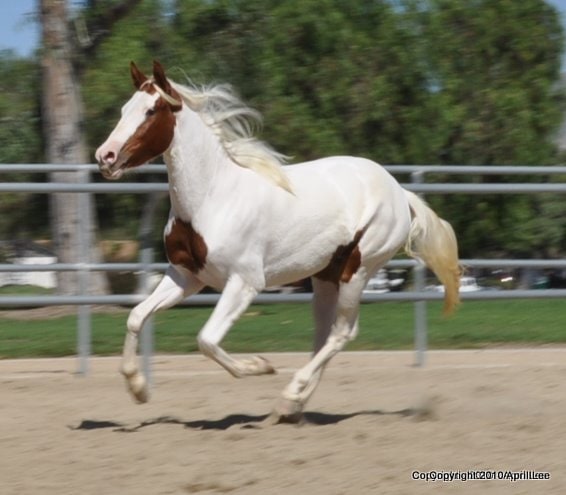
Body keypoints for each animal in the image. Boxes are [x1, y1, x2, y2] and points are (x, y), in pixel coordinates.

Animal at [96, 59, 462, 422]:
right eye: (125, 108)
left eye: (151, 111)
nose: (105, 156)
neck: (214, 199)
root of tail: (399, 192)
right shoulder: (187, 276)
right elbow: (137, 316)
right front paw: (138, 389)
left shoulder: (245, 282)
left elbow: (207, 340)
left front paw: (260, 366)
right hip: (326, 275)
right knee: (324, 333)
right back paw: (294, 405)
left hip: (358, 269)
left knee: (342, 332)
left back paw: (289, 395)